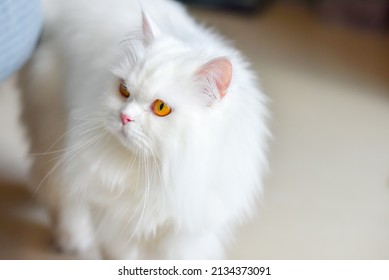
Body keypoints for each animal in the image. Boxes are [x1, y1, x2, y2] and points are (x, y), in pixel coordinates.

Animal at [19, 0, 268, 260]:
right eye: (124, 90)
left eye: (161, 107)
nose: (124, 117)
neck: (160, 173)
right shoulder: (116, 221)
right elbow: (119, 254)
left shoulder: (184, 235)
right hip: (56, 135)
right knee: (60, 193)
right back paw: (70, 238)